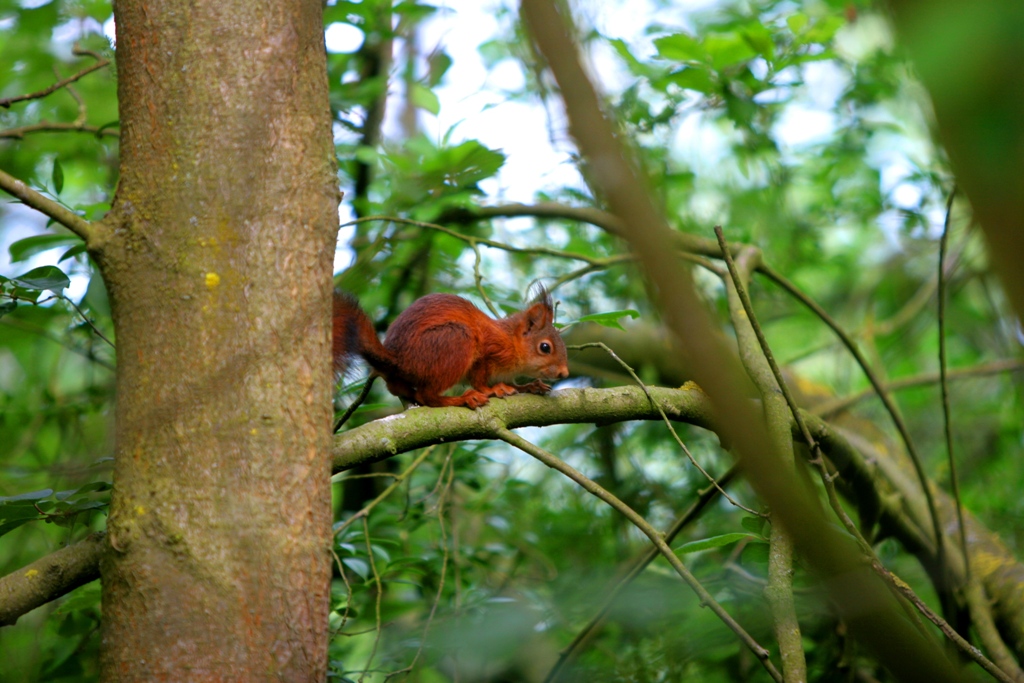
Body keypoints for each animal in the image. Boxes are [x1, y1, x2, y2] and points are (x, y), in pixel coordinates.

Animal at [331, 286, 569, 405]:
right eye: (545, 347)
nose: (564, 373)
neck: (512, 341)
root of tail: (399, 360)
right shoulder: (488, 352)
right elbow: (480, 379)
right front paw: (493, 389)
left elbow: (516, 385)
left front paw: (531, 386)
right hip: (455, 340)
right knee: (426, 397)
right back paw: (464, 398)